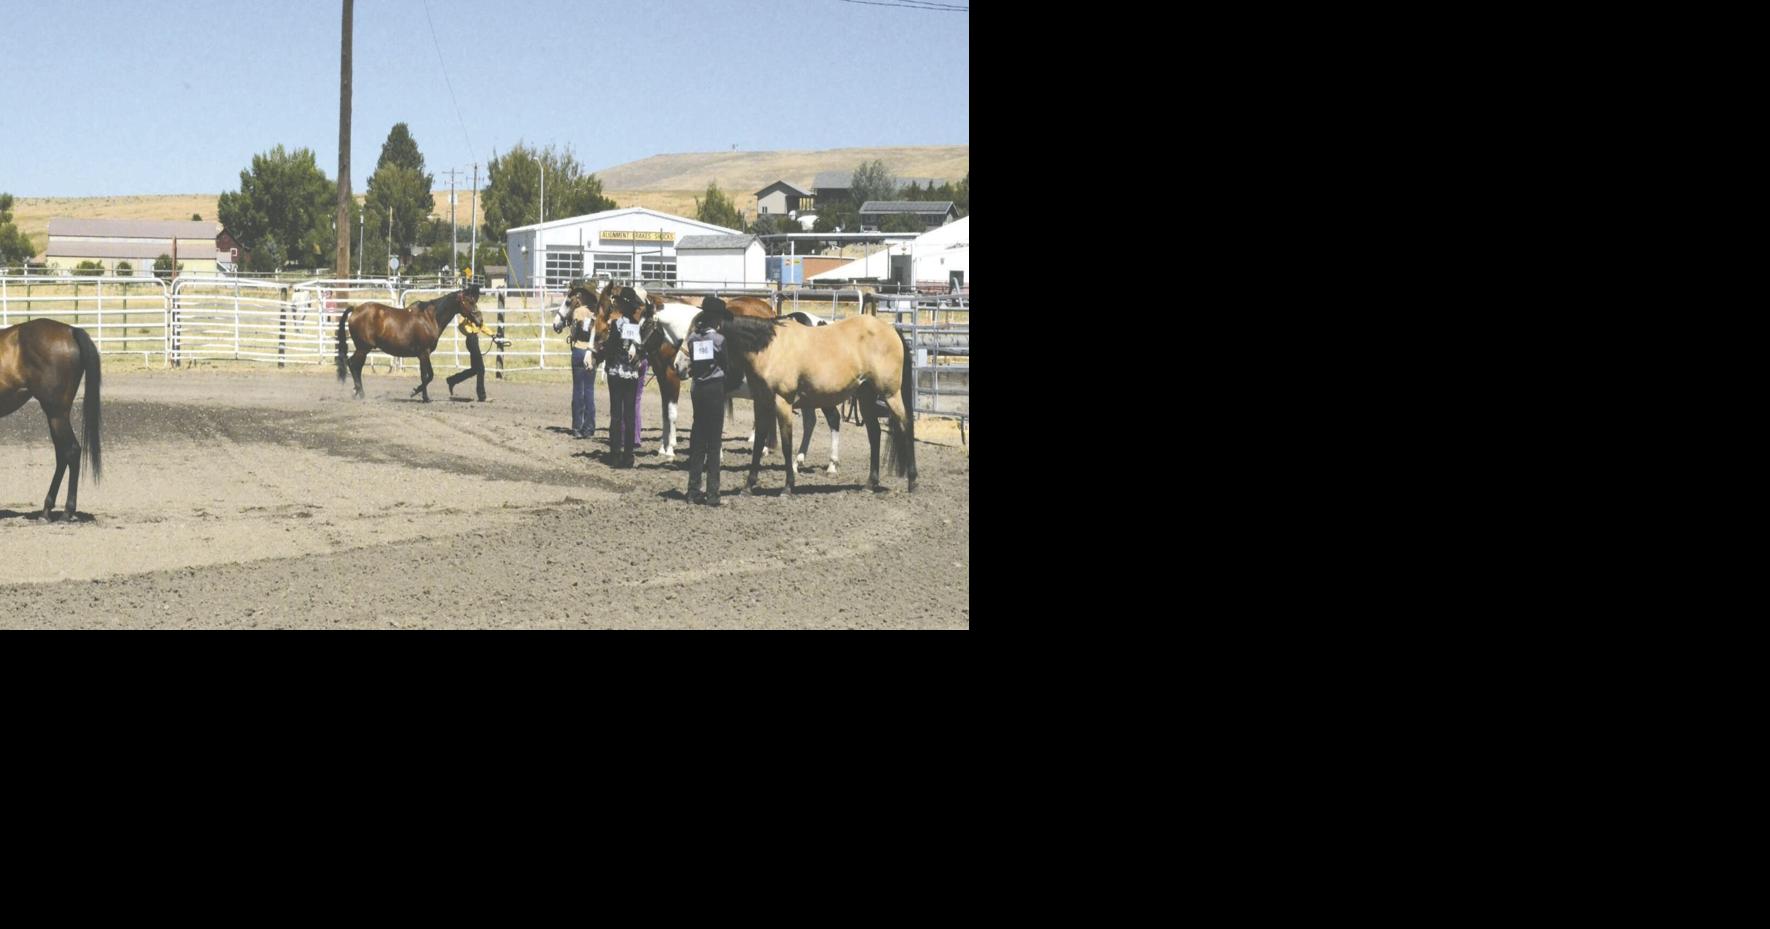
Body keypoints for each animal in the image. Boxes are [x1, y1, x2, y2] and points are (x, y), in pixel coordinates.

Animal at [0, 316, 103, 520]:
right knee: (62, 454)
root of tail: (70, 330)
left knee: (71, 451)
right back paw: (48, 510)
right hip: (55, 416)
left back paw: (65, 511)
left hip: (56, 413)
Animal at [334, 283, 488, 398]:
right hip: (363, 348)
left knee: (356, 366)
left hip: (363, 349)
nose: (480, 320)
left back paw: (357, 391)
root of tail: (356, 310)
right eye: (470, 301)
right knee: (353, 364)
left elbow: (427, 375)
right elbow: (427, 375)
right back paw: (360, 393)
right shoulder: (424, 353)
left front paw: (420, 394)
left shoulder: (423, 354)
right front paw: (421, 395)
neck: (430, 318)